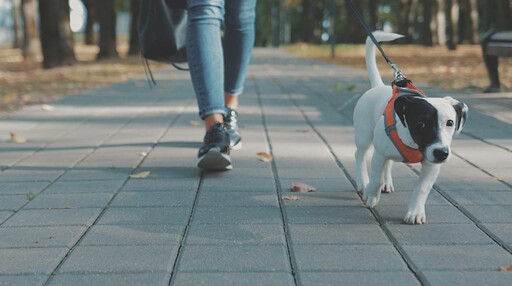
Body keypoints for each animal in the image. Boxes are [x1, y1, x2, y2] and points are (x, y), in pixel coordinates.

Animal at [352, 31, 468, 223]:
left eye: (450, 122)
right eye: (421, 123)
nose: (442, 154)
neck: (413, 142)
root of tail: (378, 86)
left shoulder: (431, 165)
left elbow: (422, 188)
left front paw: (415, 213)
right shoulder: (379, 155)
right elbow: (376, 178)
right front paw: (371, 194)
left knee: (388, 163)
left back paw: (387, 182)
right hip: (364, 135)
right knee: (360, 155)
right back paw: (363, 182)